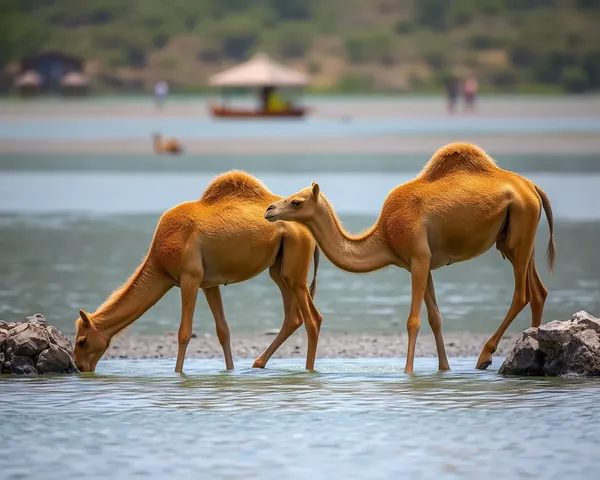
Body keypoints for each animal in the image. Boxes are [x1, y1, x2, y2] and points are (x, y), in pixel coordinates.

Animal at [74, 172, 324, 376]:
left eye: (82, 341)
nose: (80, 367)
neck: (159, 260)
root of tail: (310, 229)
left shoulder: (189, 278)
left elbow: (184, 332)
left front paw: (178, 375)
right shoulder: (209, 284)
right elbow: (223, 330)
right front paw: (230, 372)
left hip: (295, 271)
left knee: (312, 319)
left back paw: (307, 371)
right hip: (279, 270)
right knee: (293, 317)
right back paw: (258, 364)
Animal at [264, 142, 556, 376]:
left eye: (297, 202)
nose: (269, 209)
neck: (386, 235)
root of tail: (533, 187)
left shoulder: (418, 258)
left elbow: (413, 320)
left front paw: (408, 373)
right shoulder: (420, 264)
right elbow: (435, 317)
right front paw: (444, 369)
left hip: (520, 229)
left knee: (522, 293)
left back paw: (486, 356)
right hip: (514, 239)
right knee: (538, 291)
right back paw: (532, 352)